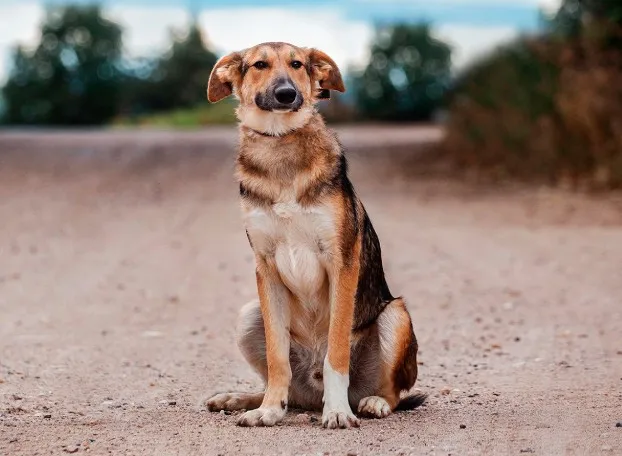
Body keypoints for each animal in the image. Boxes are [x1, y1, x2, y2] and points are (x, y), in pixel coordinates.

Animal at [205, 41, 424, 428]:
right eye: (259, 65)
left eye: (297, 64)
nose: (287, 93)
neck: (279, 145)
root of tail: (311, 391)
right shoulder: (266, 269)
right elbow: (277, 360)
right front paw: (268, 410)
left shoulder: (341, 262)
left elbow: (336, 353)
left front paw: (336, 411)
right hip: (249, 314)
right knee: (287, 388)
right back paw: (244, 399)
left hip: (395, 315)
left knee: (394, 392)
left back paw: (371, 403)